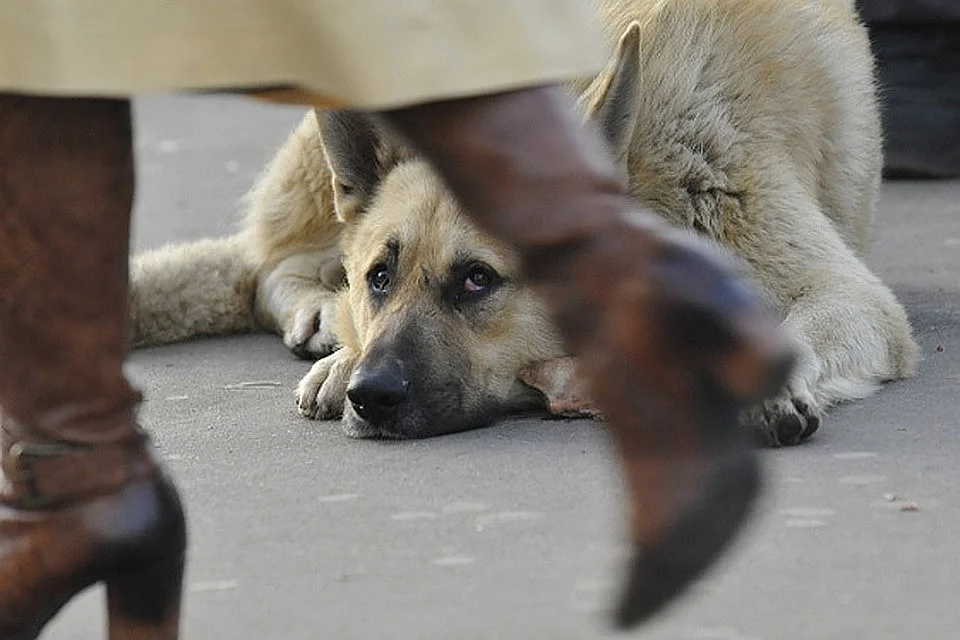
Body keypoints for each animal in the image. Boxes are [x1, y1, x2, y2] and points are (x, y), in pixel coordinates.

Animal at [131, 0, 920, 448]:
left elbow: (800, 327)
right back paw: (325, 321)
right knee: (270, 264)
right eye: (380, 277)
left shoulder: (847, 296)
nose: (371, 395)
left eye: (478, 281)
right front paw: (342, 356)